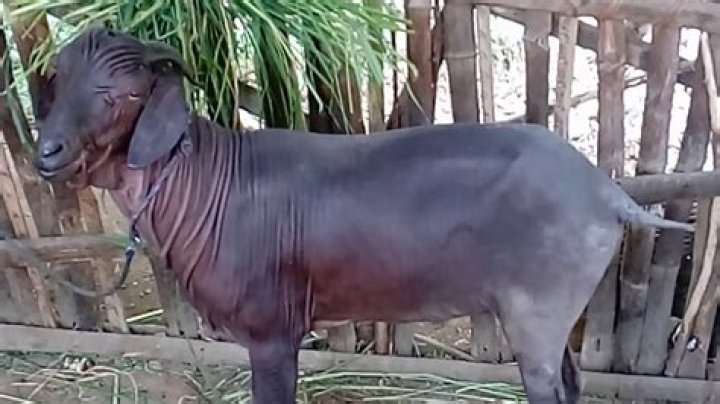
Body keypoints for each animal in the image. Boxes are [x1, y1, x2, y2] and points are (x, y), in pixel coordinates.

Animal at [33, 27, 693, 404]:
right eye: (58, 79)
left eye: (124, 95)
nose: (48, 153)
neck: (205, 181)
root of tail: (607, 193)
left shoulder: (271, 331)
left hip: (539, 307)